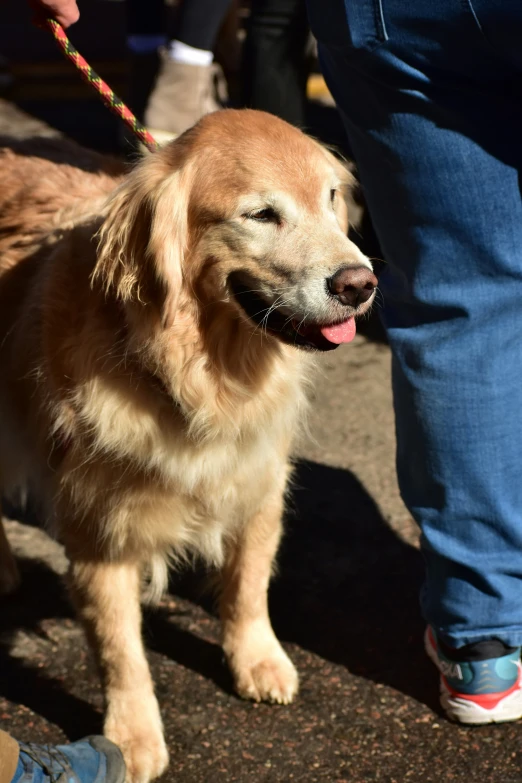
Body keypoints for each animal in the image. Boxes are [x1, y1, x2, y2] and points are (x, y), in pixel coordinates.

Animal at [0, 112, 374, 783]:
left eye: (331, 198)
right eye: (261, 215)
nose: (361, 284)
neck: (199, 373)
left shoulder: (259, 481)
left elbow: (248, 586)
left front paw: (257, 659)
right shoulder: (100, 529)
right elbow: (120, 649)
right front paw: (131, 735)